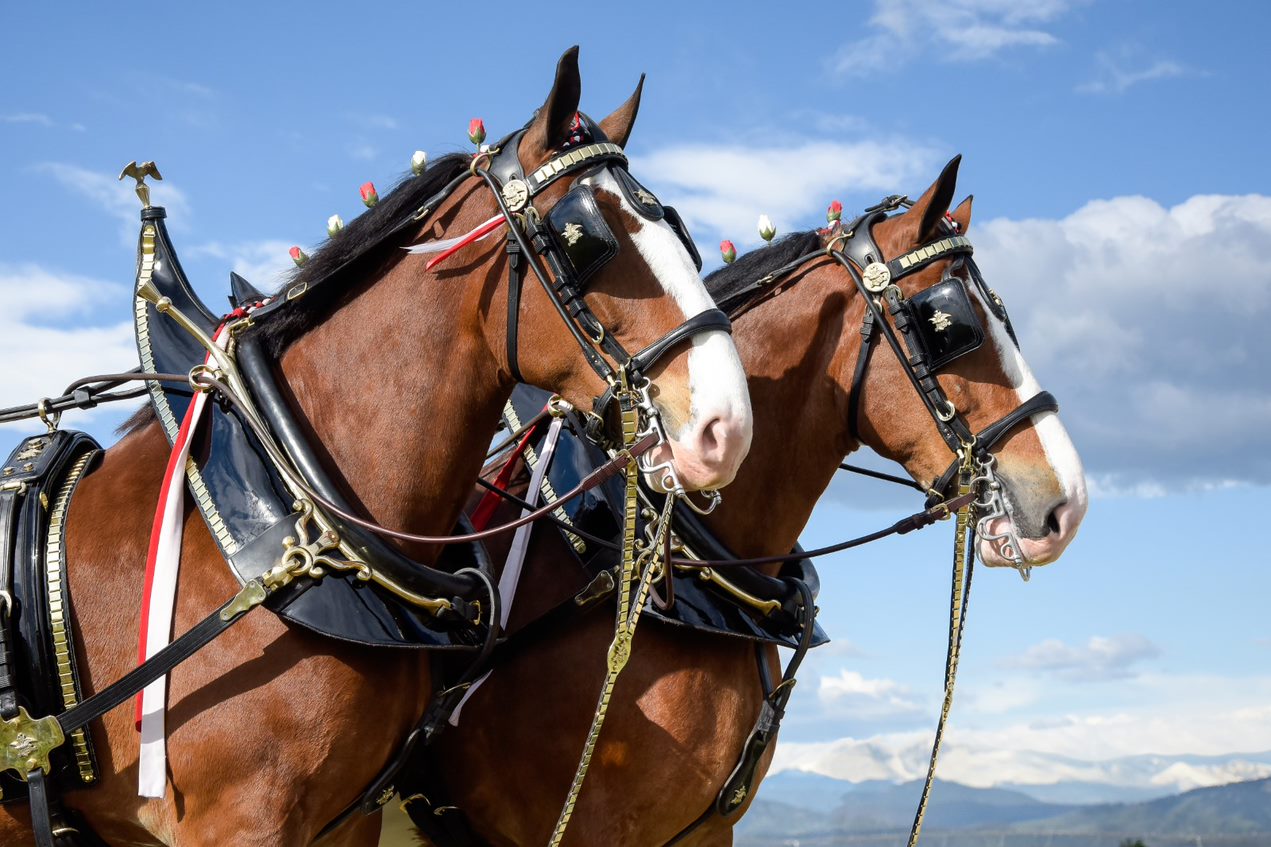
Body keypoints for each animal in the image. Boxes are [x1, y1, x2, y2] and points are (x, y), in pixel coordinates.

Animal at [0, 47, 752, 844]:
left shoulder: (347, 818)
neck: (295, 501)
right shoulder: (238, 821)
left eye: (680, 231)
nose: (725, 427)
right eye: (586, 238)